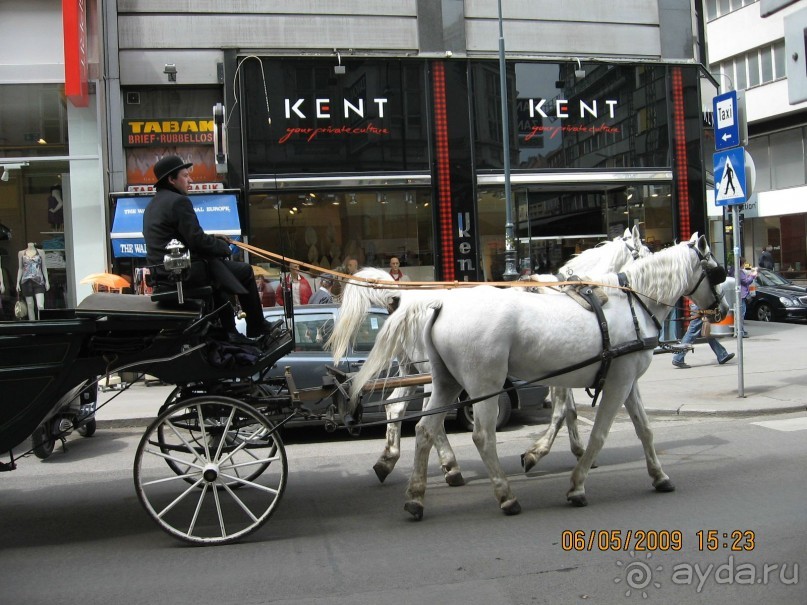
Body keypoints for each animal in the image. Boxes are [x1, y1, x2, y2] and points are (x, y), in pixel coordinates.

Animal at [346, 234, 724, 516]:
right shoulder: (611, 382)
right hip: (481, 383)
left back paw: (413, 490)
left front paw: (659, 475)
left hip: (440, 379)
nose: (722, 309)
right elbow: (591, 428)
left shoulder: (625, 380)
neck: (629, 302)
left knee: (420, 424)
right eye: (717, 272)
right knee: (479, 435)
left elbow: (643, 429)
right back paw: (504, 495)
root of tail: (434, 303)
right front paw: (573, 478)